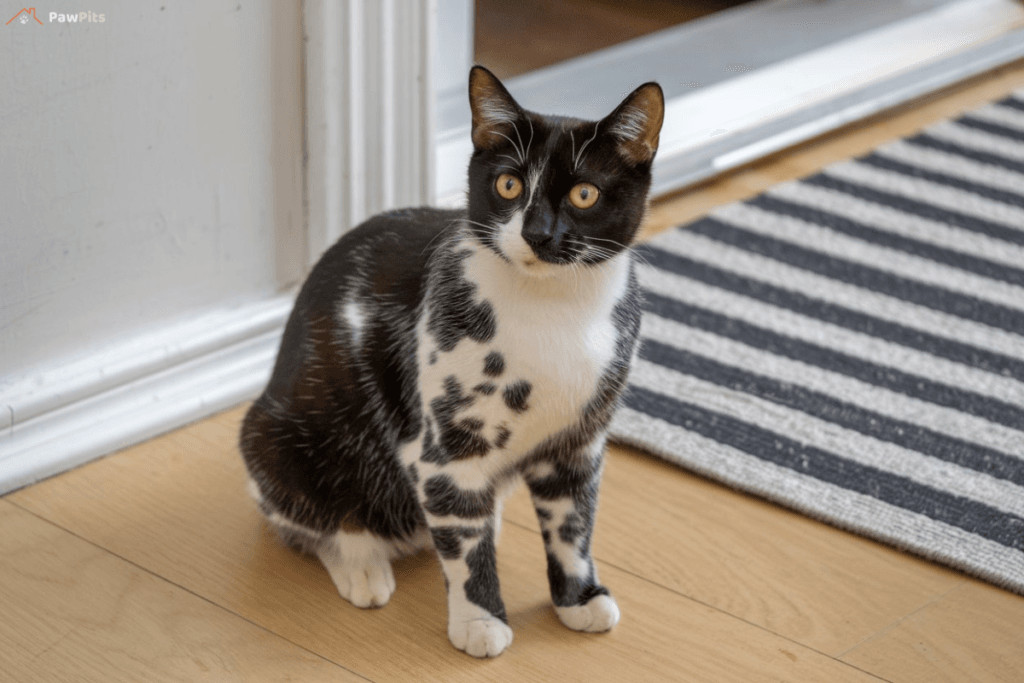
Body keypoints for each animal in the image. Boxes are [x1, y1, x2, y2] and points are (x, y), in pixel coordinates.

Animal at [241, 63, 663, 655]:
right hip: (276, 438)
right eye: (508, 184)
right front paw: (479, 620)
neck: (553, 311)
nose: (537, 233)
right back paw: (361, 563)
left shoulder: (579, 445)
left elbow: (573, 524)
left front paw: (579, 597)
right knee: (308, 518)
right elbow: (465, 547)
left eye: (585, 193)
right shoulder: (444, 453)